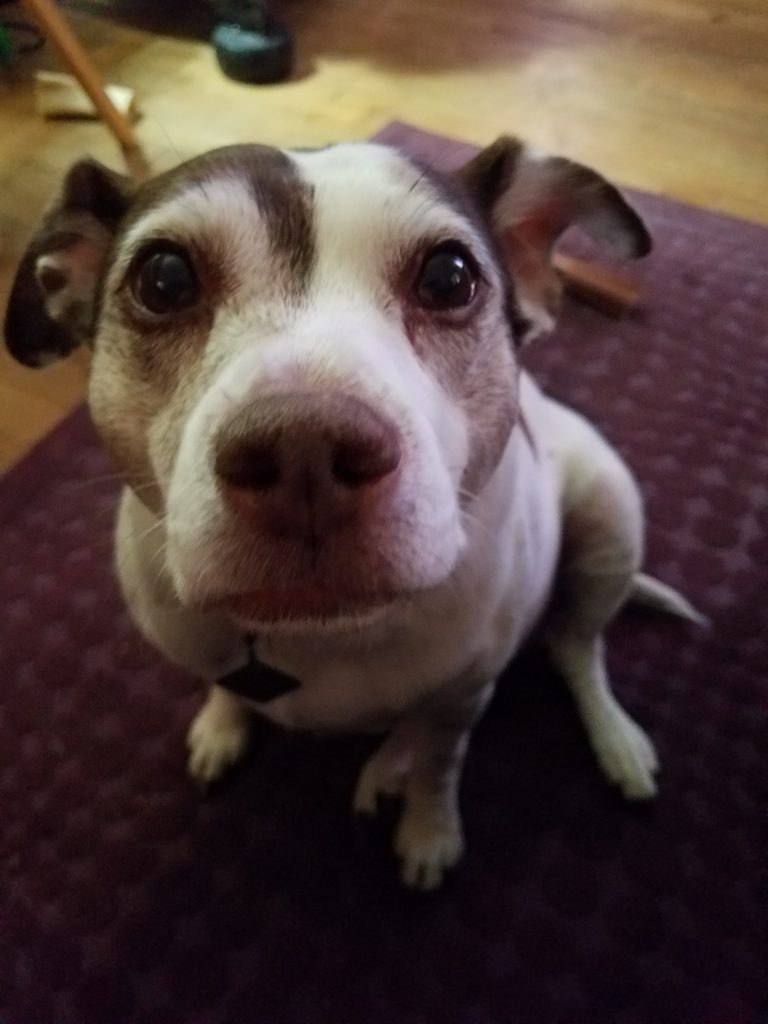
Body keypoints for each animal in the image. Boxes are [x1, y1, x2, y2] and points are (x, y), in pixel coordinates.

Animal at [5, 136, 703, 890]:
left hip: (609, 515)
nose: (303, 450)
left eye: (449, 278)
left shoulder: (463, 698)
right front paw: (222, 725)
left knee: (576, 649)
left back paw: (612, 743)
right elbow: (228, 687)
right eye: (164, 279)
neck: (317, 636)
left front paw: (429, 831)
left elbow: (441, 766)